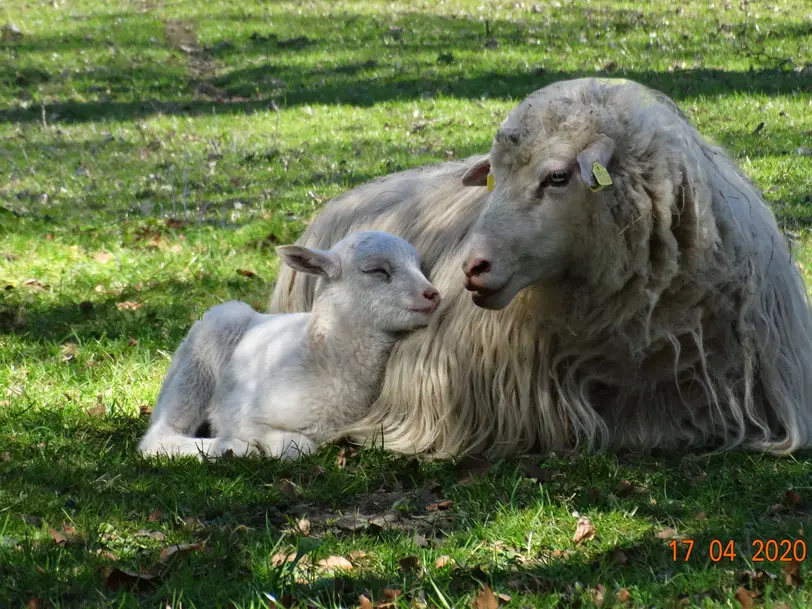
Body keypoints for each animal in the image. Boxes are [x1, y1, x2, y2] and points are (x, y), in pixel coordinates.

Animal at [140, 230, 444, 458]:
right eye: (377, 270)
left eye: (420, 267)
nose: (432, 294)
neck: (320, 359)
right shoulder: (243, 412)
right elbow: (294, 446)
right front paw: (253, 444)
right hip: (198, 361)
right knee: (157, 437)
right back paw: (229, 447)